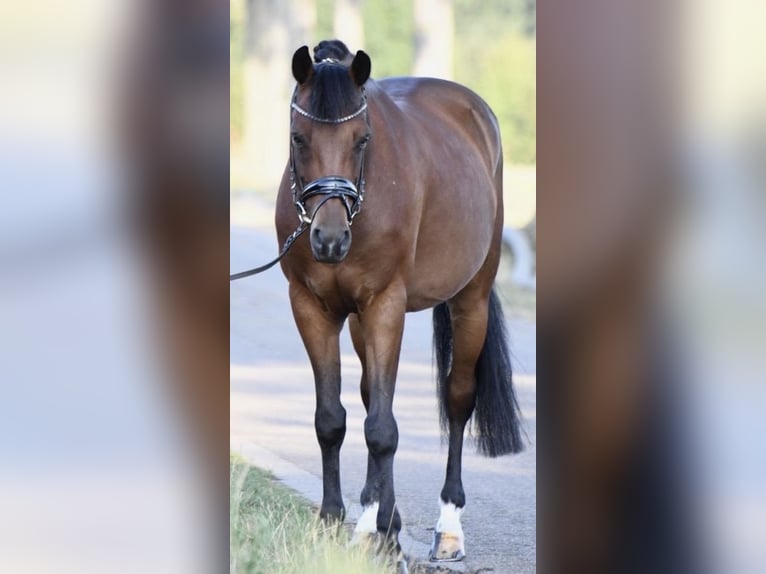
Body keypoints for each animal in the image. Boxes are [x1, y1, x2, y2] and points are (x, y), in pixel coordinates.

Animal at [272, 41, 524, 568]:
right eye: (298, 138)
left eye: (363, 139)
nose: (329, 239)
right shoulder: (310, 307)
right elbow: (333, 419)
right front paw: (335, 522)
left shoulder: (385, 305)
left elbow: (382, 428)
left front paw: (372, 533)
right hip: (358, 323)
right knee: (371, 394)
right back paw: (387, 523)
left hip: (471, 300)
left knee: (457, 399)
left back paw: (447, 529)